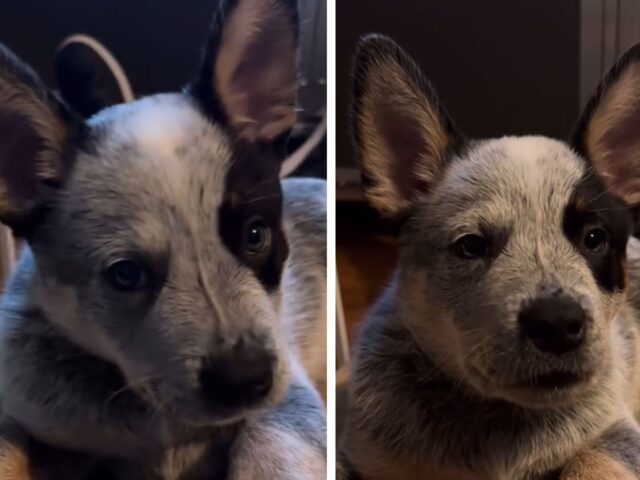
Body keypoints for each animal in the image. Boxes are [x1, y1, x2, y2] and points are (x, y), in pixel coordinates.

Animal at [340, 34, 640, 480]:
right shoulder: (363, 452)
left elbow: (590, 460)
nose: (557, 323)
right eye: (471, 246)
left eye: (594, 238)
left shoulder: (619, 432)